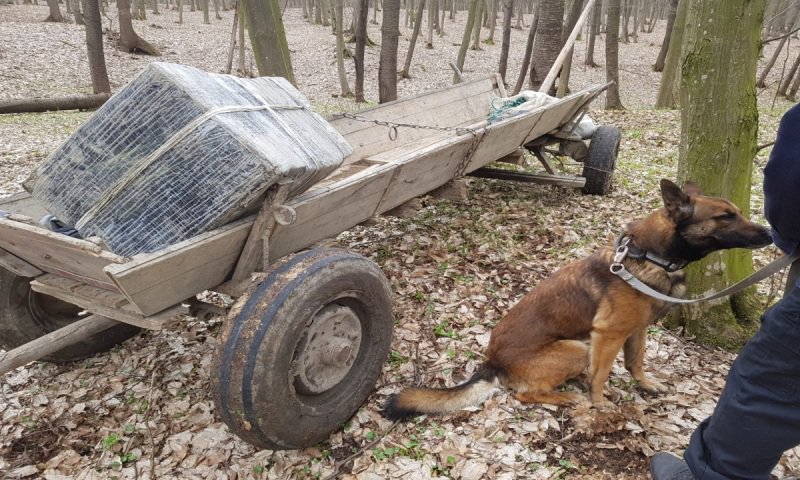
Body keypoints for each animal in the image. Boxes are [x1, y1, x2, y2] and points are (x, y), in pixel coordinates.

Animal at [384, 178, 772, 418]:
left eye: (737, 211)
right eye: (725, 217)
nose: (770, 233)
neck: (649, 255)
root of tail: (492, 363)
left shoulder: (636, 331)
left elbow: (636, 362)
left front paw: (645, 385)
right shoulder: (608, 335)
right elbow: (602, 375)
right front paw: (598, 404)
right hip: (576, 348)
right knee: (525, 393)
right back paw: (566, 397)